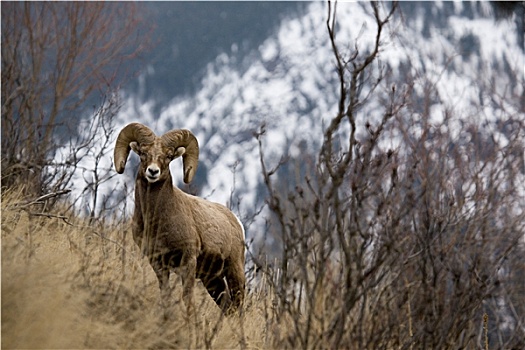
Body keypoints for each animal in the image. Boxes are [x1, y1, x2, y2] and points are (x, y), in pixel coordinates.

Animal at [113, 122, 245, 314]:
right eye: (143, 153)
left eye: (168, 156)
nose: (153, 172)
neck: (157, 221)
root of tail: (235, 222)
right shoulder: (158, 264)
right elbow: (166, 295)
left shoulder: (188, 261)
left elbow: (187, 299)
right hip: (212, 279)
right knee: (226, 304)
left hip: (234, 270)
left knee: (238, 304)